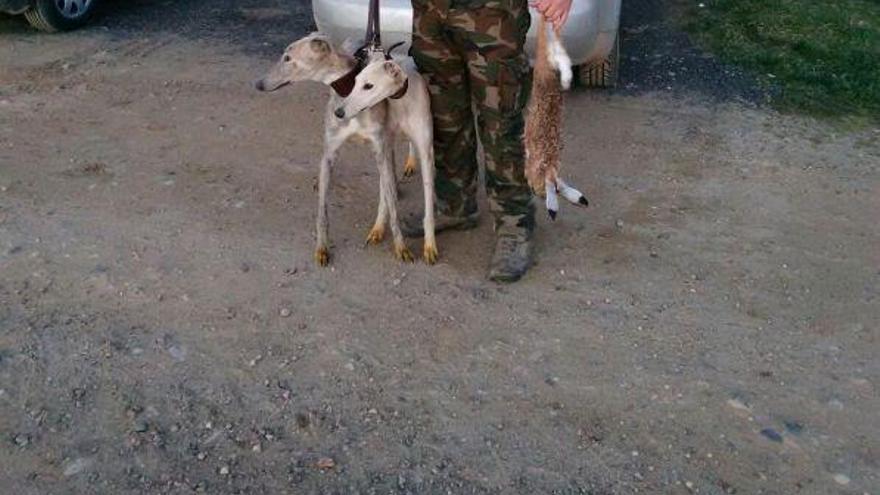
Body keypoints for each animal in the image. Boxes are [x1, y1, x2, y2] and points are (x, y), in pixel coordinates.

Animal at [254, 33, 436, 268]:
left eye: (287, 58)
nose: (258, 84)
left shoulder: (384, 150)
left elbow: (398, 206)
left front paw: (402, 247)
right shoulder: (331, 153)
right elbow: (322, 211)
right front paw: (322, 248)